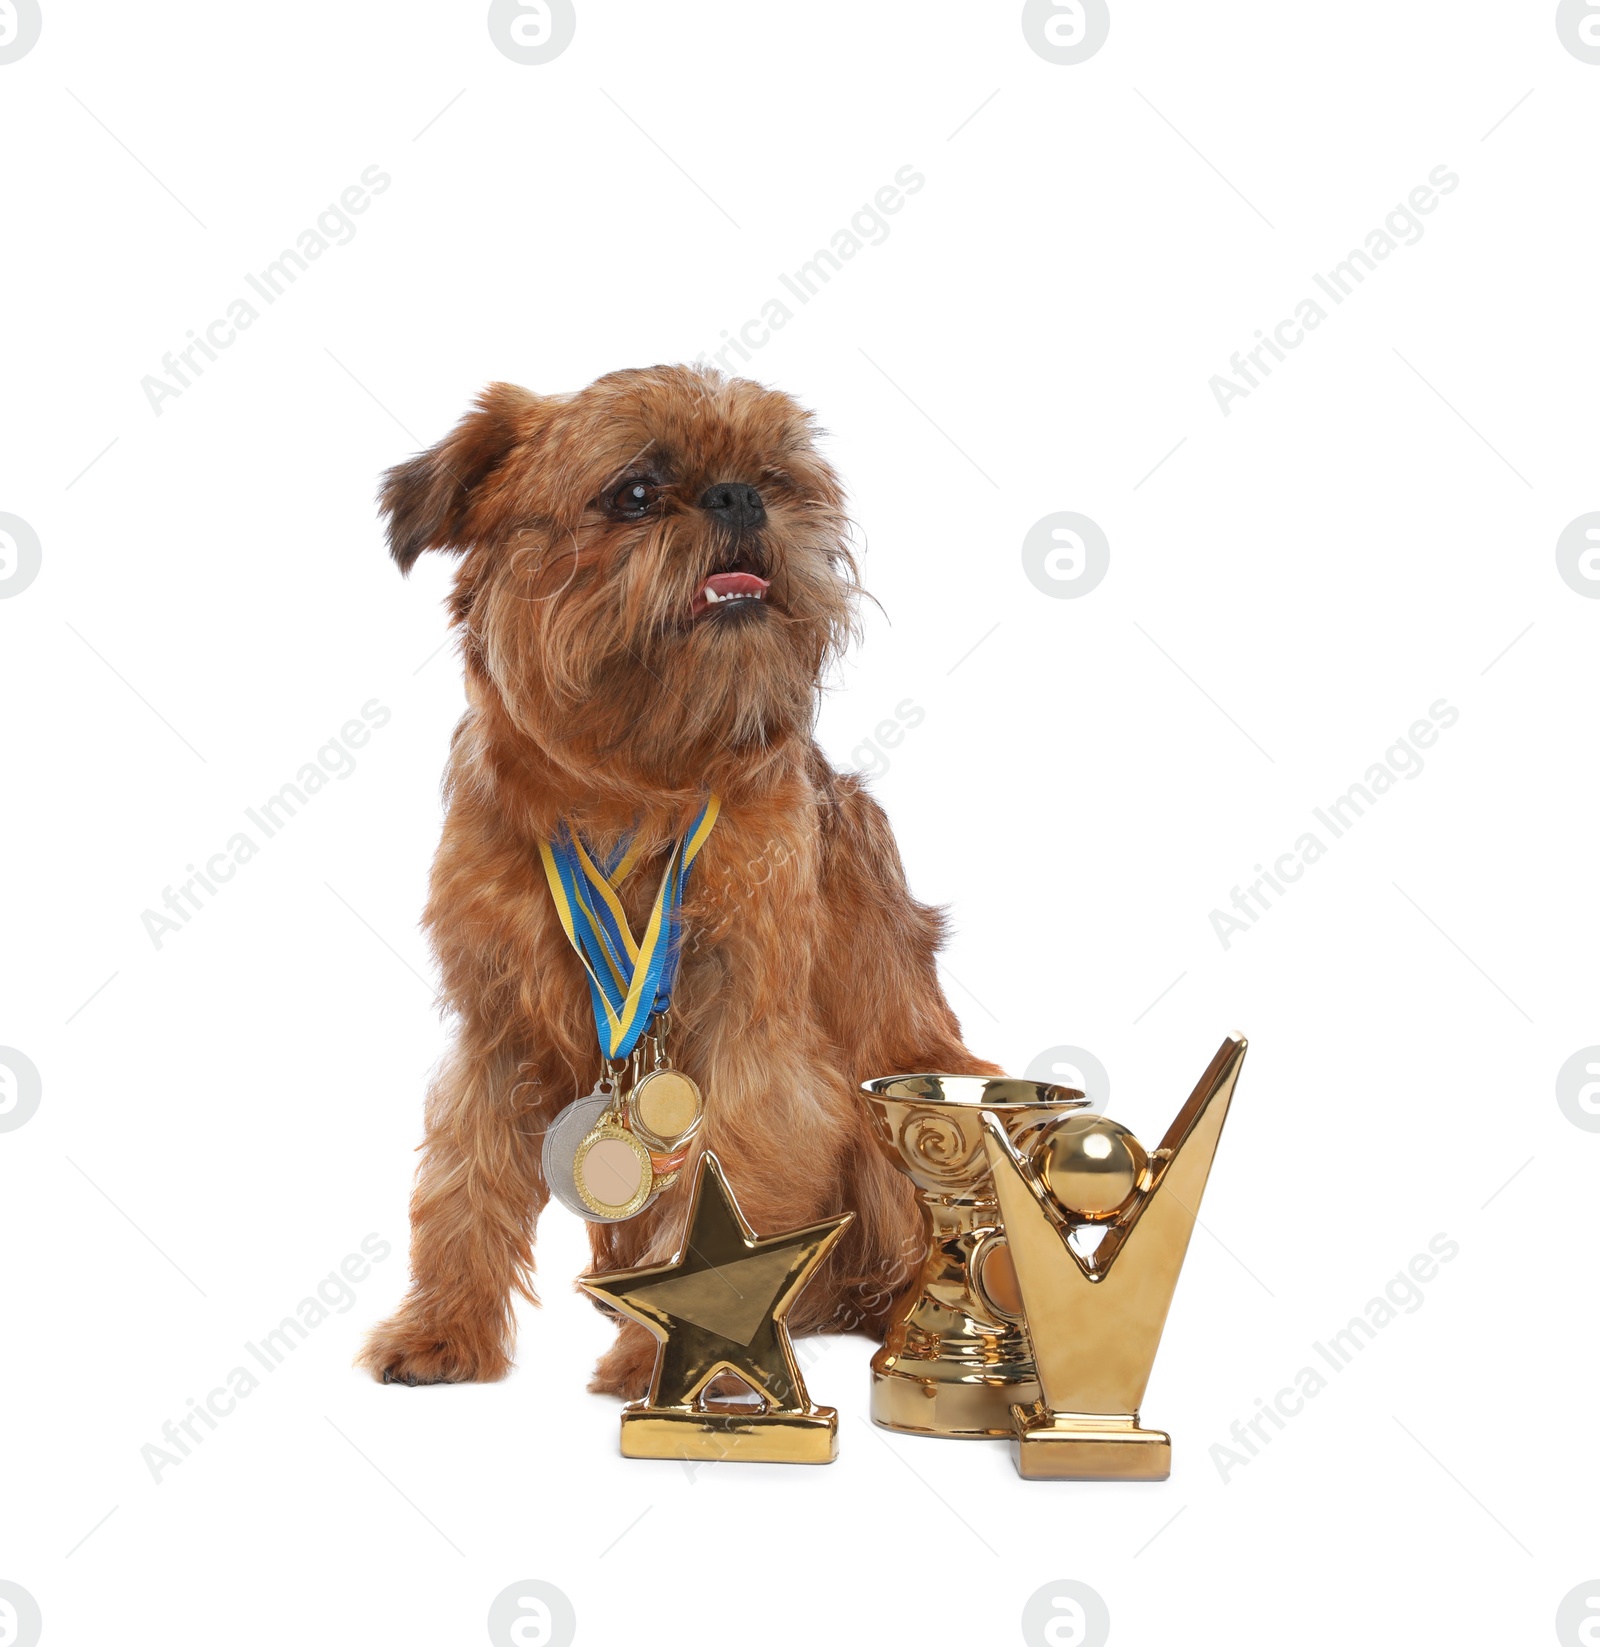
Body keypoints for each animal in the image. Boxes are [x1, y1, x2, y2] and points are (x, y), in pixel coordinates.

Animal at [359, 367, 1001, 1396]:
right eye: (634, 492)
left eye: (774, 478)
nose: (739, 496)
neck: (631, 791)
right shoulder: (495, 1030)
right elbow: (460, 1177)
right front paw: (441, 1328)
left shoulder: (748, 1035)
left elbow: (725, 1168)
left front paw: (679, 1354)